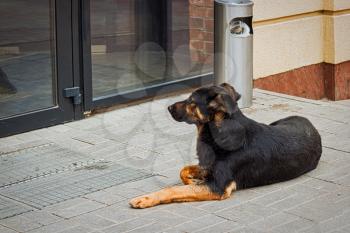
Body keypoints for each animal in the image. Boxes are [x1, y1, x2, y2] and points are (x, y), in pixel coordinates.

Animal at [129, 83, 322, 208]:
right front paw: (192, 180)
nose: (168, 107)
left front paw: (146, 199)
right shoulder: (207, 167)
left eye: (191, 101)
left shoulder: (218, 186)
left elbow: (173, 190)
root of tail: (309, 123)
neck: (220, 133)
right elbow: (184, 171)